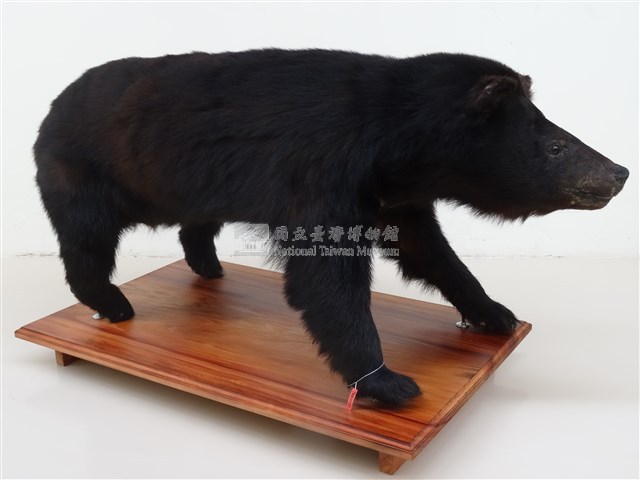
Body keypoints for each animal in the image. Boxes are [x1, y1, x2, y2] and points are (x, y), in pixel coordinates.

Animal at [33, 49, 629, 406]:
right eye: (557, 146)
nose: (619, 172)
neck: (398, 146)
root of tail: (53, 103)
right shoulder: (322, 170)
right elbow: (326, 278)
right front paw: (388, 381)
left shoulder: (398, 195)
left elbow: (430, 252)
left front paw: (494, 313)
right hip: (81, 172)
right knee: (86, 242)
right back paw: (113, 304)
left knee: (194, 225)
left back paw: (209, 268)